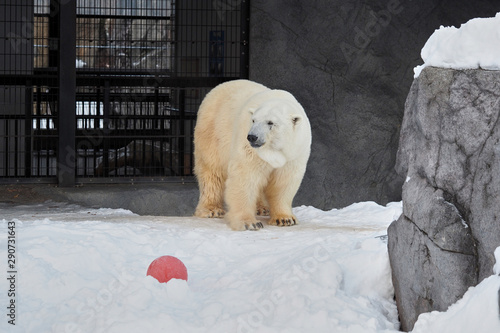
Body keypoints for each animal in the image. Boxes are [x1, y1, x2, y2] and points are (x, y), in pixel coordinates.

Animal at [193, 80, 310, 230]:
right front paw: (249, 223)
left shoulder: (294, 153)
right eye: (253, 120)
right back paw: (211, 209)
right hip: (212, 133)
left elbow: (284, 181)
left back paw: (262, 208)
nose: (252, 137)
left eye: (271, 122)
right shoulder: (249, 148)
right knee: (212, 172)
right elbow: (246, 176)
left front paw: (285, 219)